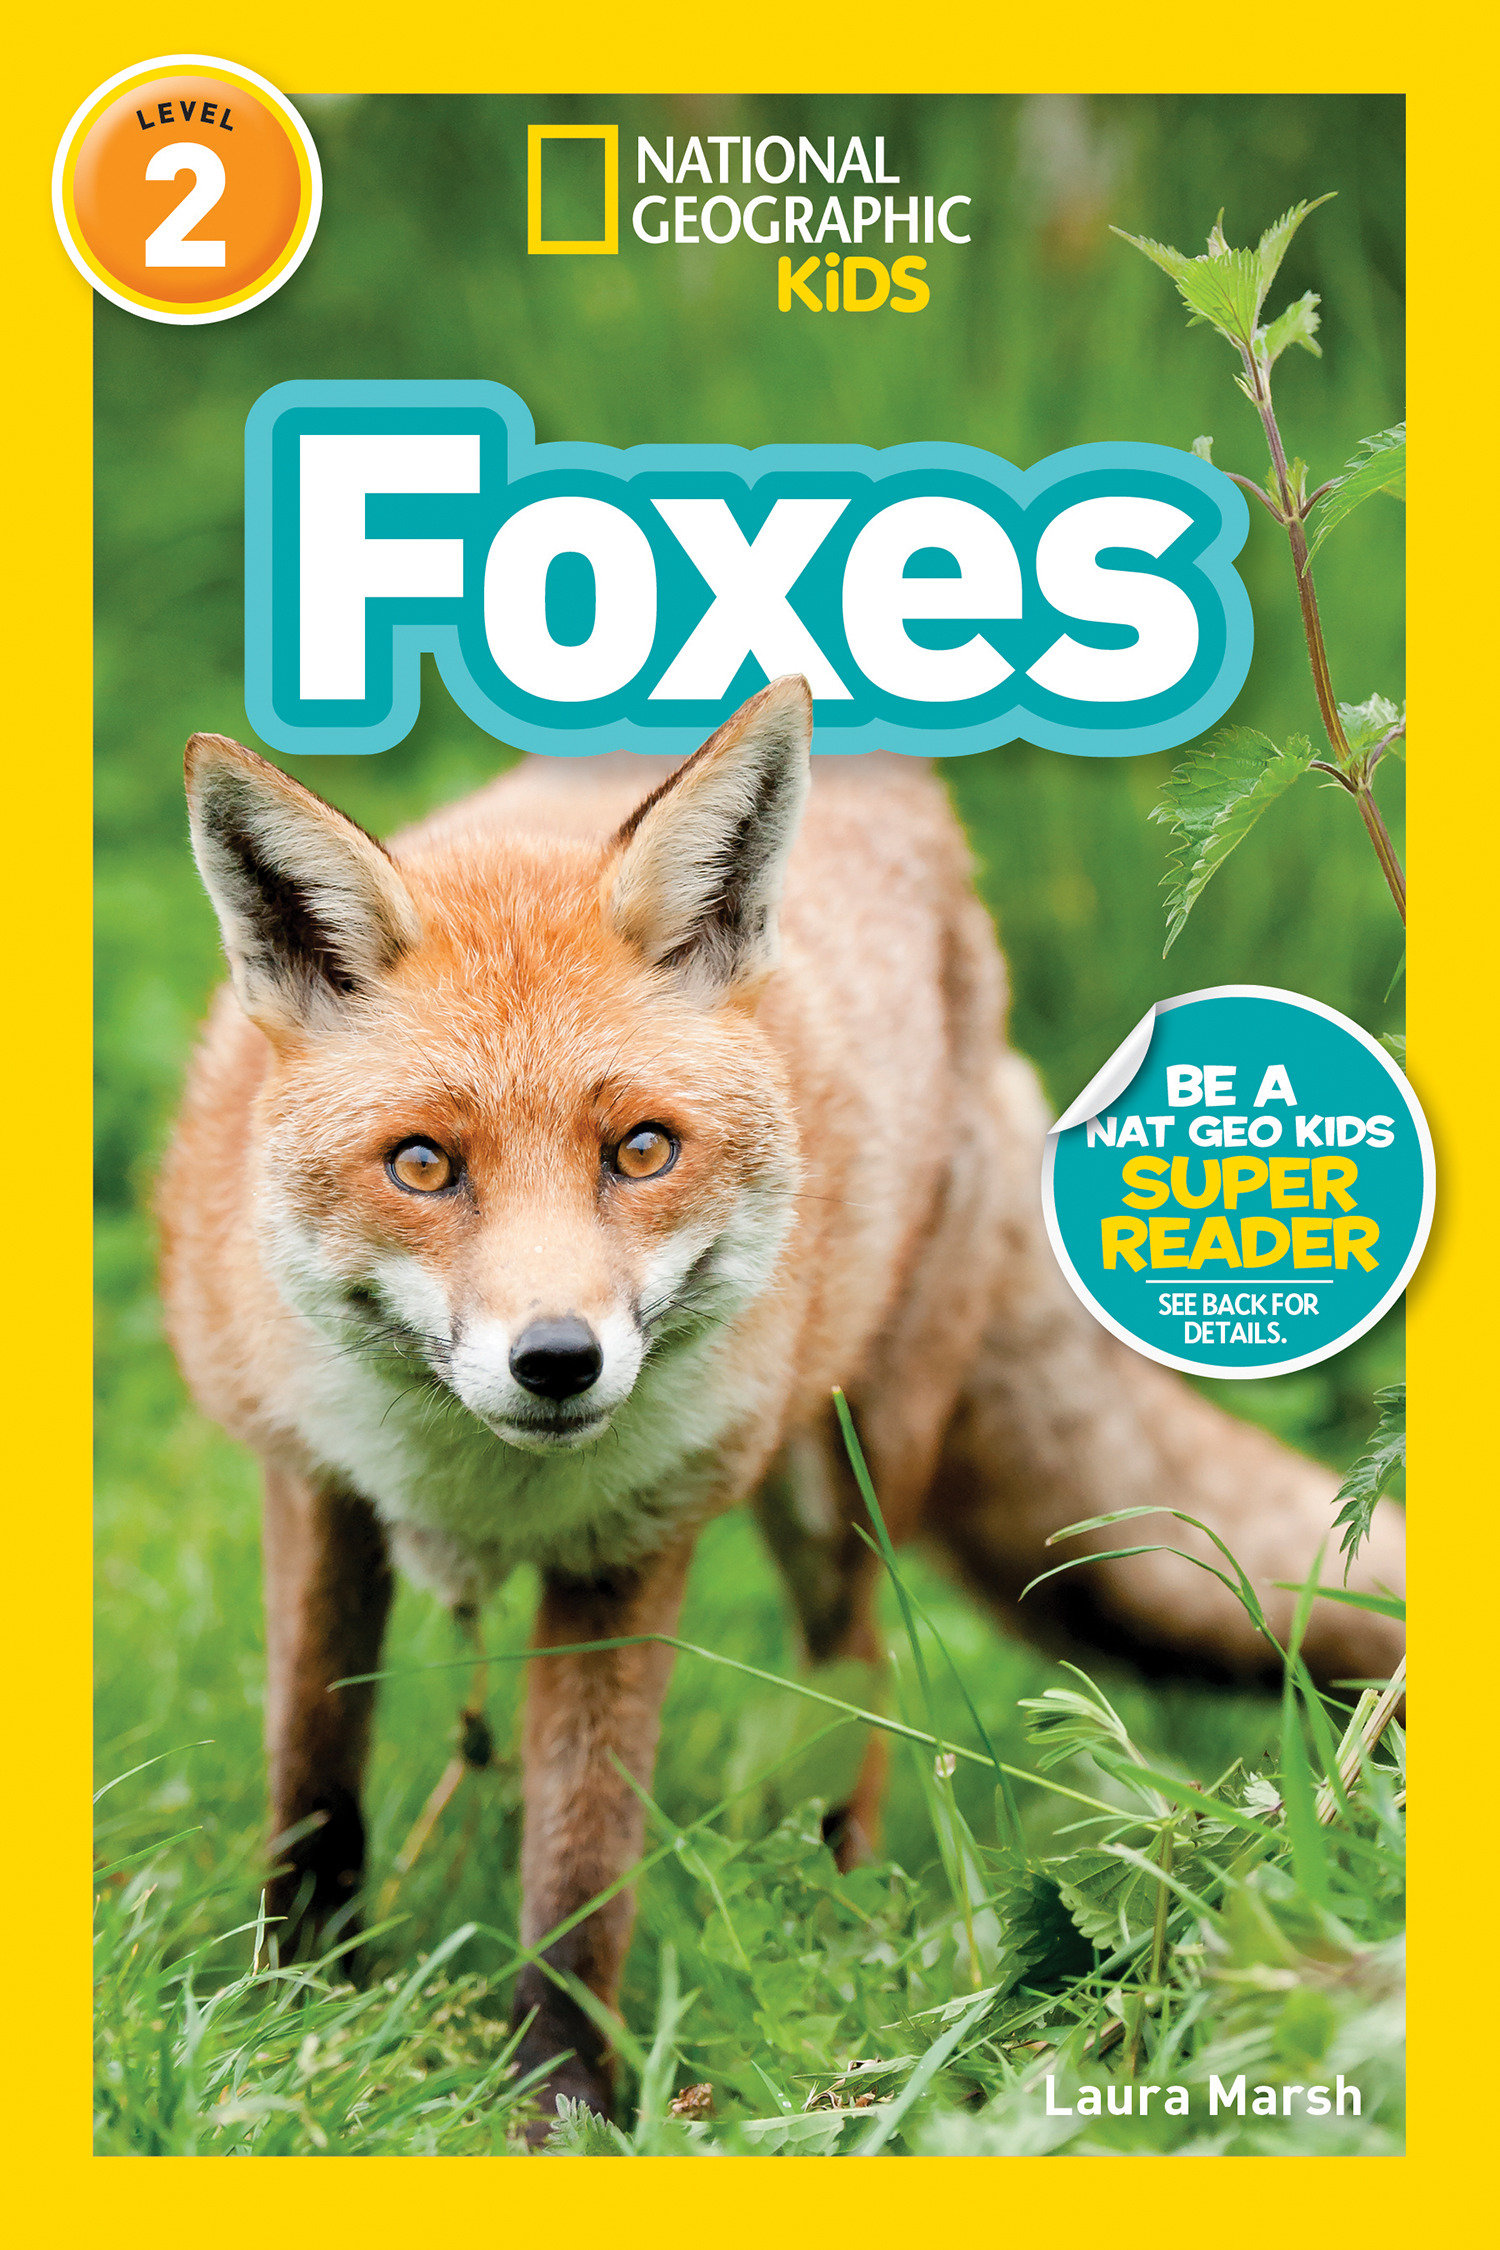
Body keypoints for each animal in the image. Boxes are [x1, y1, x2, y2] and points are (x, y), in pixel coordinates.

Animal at [162, 673, 1404, 2125]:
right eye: (422, 1165)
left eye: (641, 1150)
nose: (557, 1360)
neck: (477, 1479)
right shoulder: (315, 1484)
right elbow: (314, 1775)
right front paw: (290, 2009)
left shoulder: (631, 1548)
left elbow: (580, 1870)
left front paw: (561, 2106)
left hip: (845, 1478)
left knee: (857, 1688)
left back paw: (844, 1928)